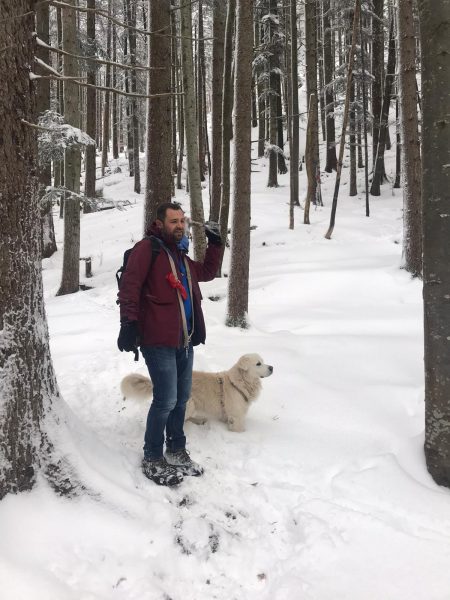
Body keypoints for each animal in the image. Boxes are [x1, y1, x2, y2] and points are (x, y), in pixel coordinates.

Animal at [120, 353, 273, 432]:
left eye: (263, 361)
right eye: (258, 364)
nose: (272, 367)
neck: (239, 382)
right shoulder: (236, 416)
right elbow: (238, 428)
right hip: (189, 403)